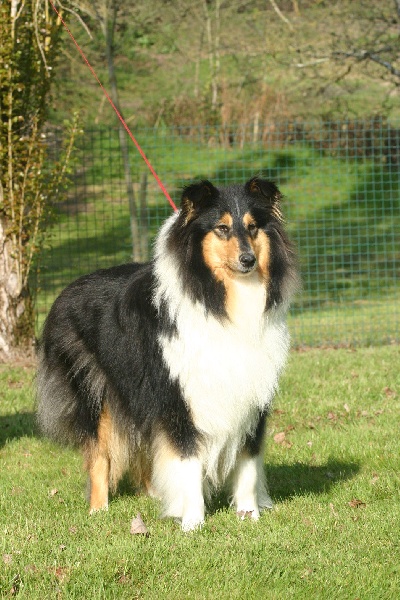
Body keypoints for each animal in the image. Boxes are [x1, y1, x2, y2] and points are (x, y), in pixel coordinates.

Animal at [37, 176, 298, 531]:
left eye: (253, 227)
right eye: (221, 228)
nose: (248, 260)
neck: (221, 304)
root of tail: (66, 290)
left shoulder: (251, 394)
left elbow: (247, 462)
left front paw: (248, 515)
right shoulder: (178, 399)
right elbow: (187, 460)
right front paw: (192, 521)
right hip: (97, 397)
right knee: (100, 455)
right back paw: (98, 510)